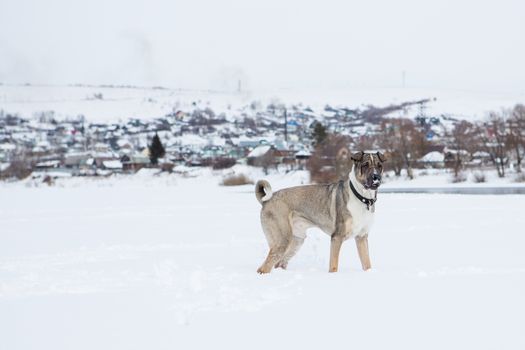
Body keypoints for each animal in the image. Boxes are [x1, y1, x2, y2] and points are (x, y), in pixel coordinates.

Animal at [254, 150, 384, 274]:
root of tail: (267, 200)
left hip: (297, 240)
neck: (362, 198)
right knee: (264, 268)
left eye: (379, 165)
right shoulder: (337, 237)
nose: (376, 178)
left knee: (279, 263)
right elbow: (333, 266)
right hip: (282, 239)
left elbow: (367, 264)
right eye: (365, 165)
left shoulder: (362, 237)